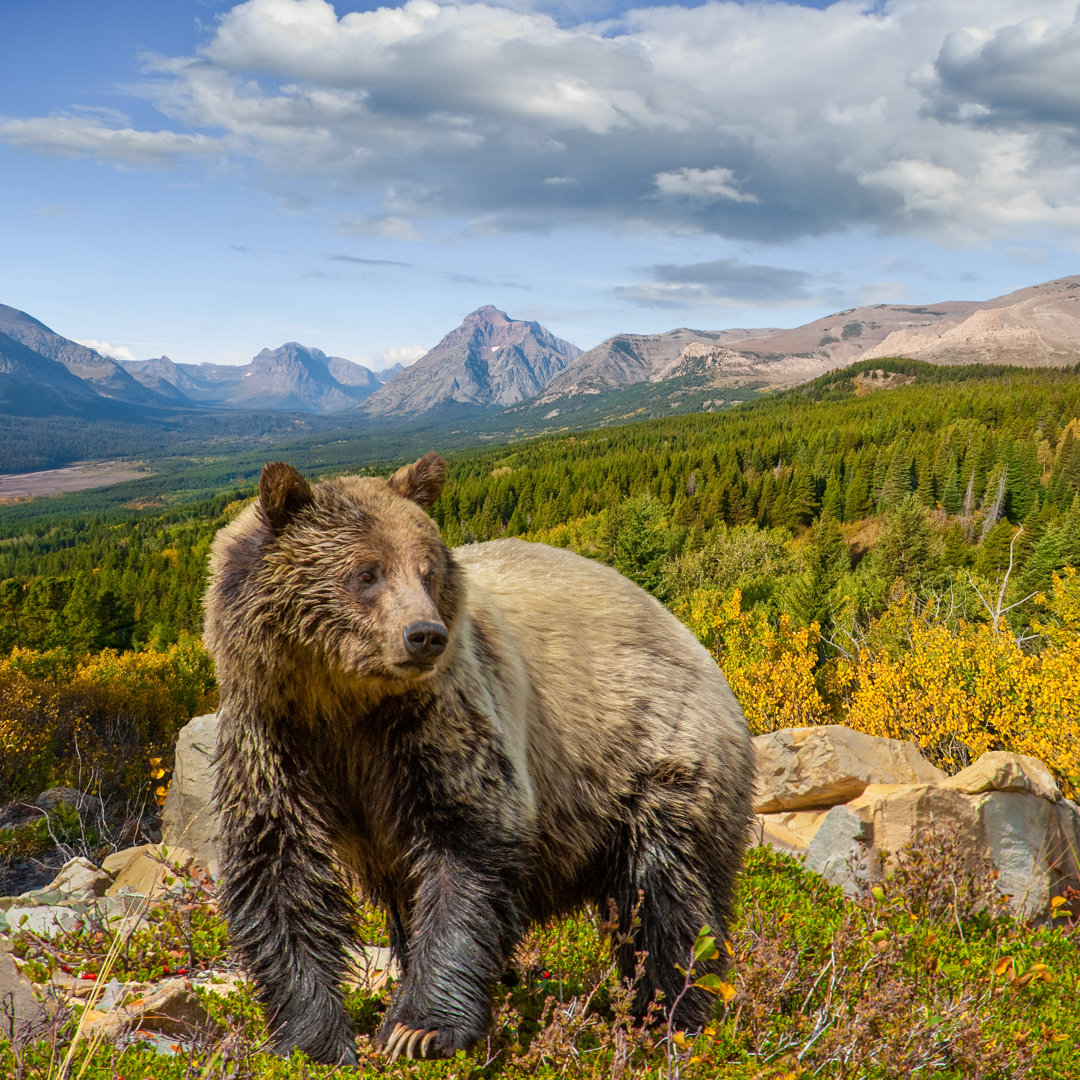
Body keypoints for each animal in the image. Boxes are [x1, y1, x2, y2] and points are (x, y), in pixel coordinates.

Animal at [203, 453, 751, 1062]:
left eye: (426, 570)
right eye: (366, 573)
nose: (424, 635)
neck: (343, 701)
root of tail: (692, 641)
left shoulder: (436, 722)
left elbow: (466, 842)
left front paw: (418, 1028)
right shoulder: (277, 735)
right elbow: (278, 869)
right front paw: (315, 1037)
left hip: (655, 759)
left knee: (665, 896)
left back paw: (677, 1015)